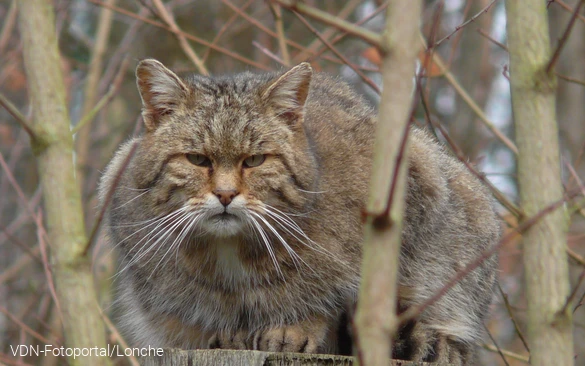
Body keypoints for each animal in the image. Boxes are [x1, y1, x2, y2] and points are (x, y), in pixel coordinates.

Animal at [99, 58, 498, 364]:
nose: (226, 194)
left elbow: (328, 299)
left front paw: (296, 326)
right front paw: (229, 331)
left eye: (255, 160)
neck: (233, 249)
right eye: (197, 159)